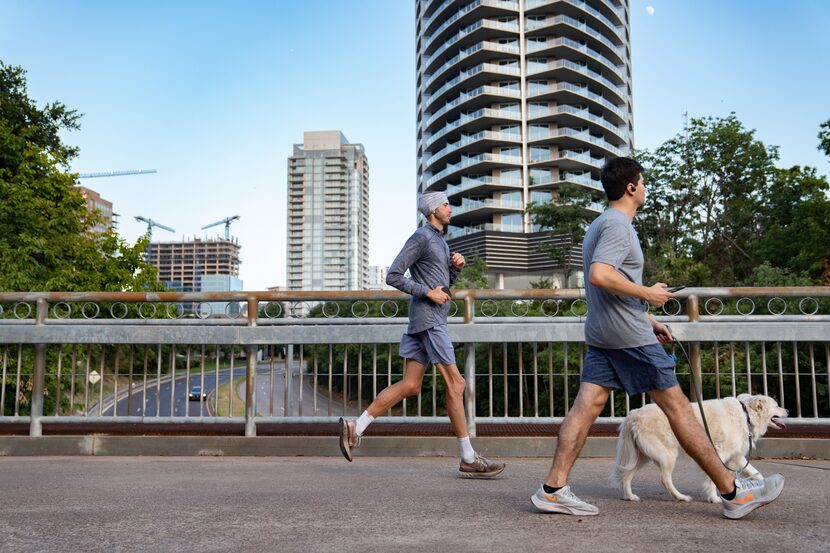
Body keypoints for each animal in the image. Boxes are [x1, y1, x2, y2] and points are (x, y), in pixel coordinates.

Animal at [612, 390, 792, 502]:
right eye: (777, 405)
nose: (789, 411)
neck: (746, 414)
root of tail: (634, 414)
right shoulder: (720, 454)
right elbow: (713, 478)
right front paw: (714, 498)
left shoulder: (737, 456)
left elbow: (756, 473)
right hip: (667, 455)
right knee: (665, 479)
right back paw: (681, 497)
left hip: (642, 456)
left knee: (626, 474)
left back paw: (630, 496)